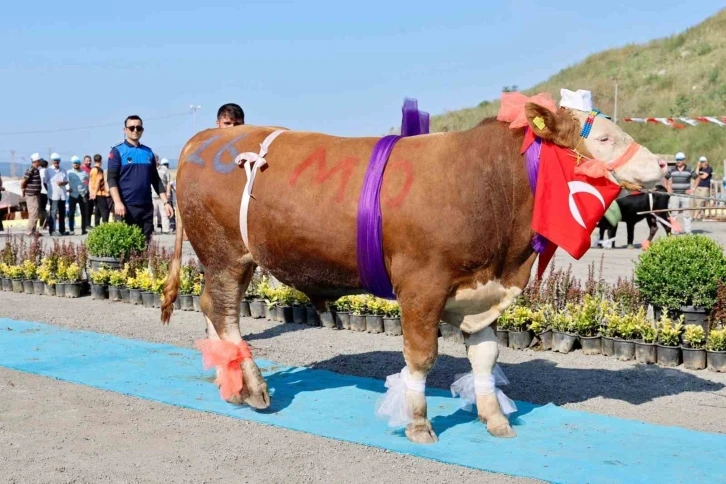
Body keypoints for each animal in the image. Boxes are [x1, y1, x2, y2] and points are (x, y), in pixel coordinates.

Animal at [162, 96, 668, 444]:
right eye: (603, 137)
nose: (660, 164)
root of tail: (205, 138)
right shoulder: (422, 285)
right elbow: (421, 358)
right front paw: (419, 423)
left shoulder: (482, 290)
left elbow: (486, 357)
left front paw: (495, 419)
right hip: (224, 254)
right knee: (223, 310)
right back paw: (253, 386)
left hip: (234, 258)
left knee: (212, 309)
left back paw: (228, 381)